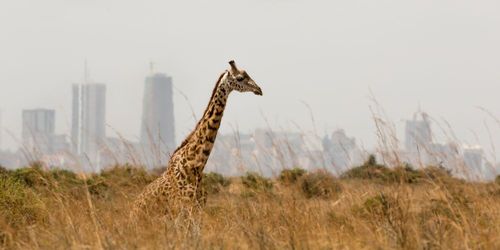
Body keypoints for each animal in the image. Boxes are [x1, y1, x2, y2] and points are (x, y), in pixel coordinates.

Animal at [133, 60, 262, 217]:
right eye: (240, 78)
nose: (259, 89)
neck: (195, 166)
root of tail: (133, 207)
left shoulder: (198, 208)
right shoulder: (182, 208)